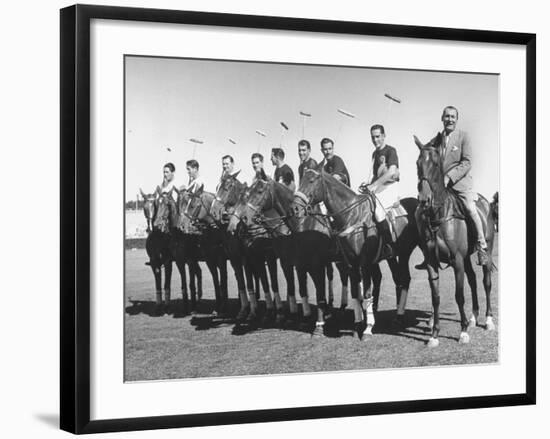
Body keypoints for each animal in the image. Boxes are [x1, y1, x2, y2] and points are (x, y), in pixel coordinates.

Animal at [296, 168, 420, 340]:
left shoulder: (364, 263)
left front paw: (368, 328)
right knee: (401, 279)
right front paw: (357, 326)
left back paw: (400, 316)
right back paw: (397, 316)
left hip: (408, 252)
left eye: (311, 181)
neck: (351, 215)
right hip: (395, 255)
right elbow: (355, 294)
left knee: (405, 279)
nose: (295, 206)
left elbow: (366, 293)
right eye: (301, 179)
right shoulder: (351, 264)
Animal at [416, 134, 498, 348]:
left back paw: (488, 320)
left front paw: (462, 333)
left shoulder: (457, 261)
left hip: (486, 251)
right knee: (473, 281)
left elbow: (459, 295)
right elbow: (436, 297)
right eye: (418, 163)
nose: (424, 200)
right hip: (467, 258)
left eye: (436, 164)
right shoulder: (432, 262)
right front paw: (434, 335)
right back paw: (473, 318)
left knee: (486, 282)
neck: (439, 216)